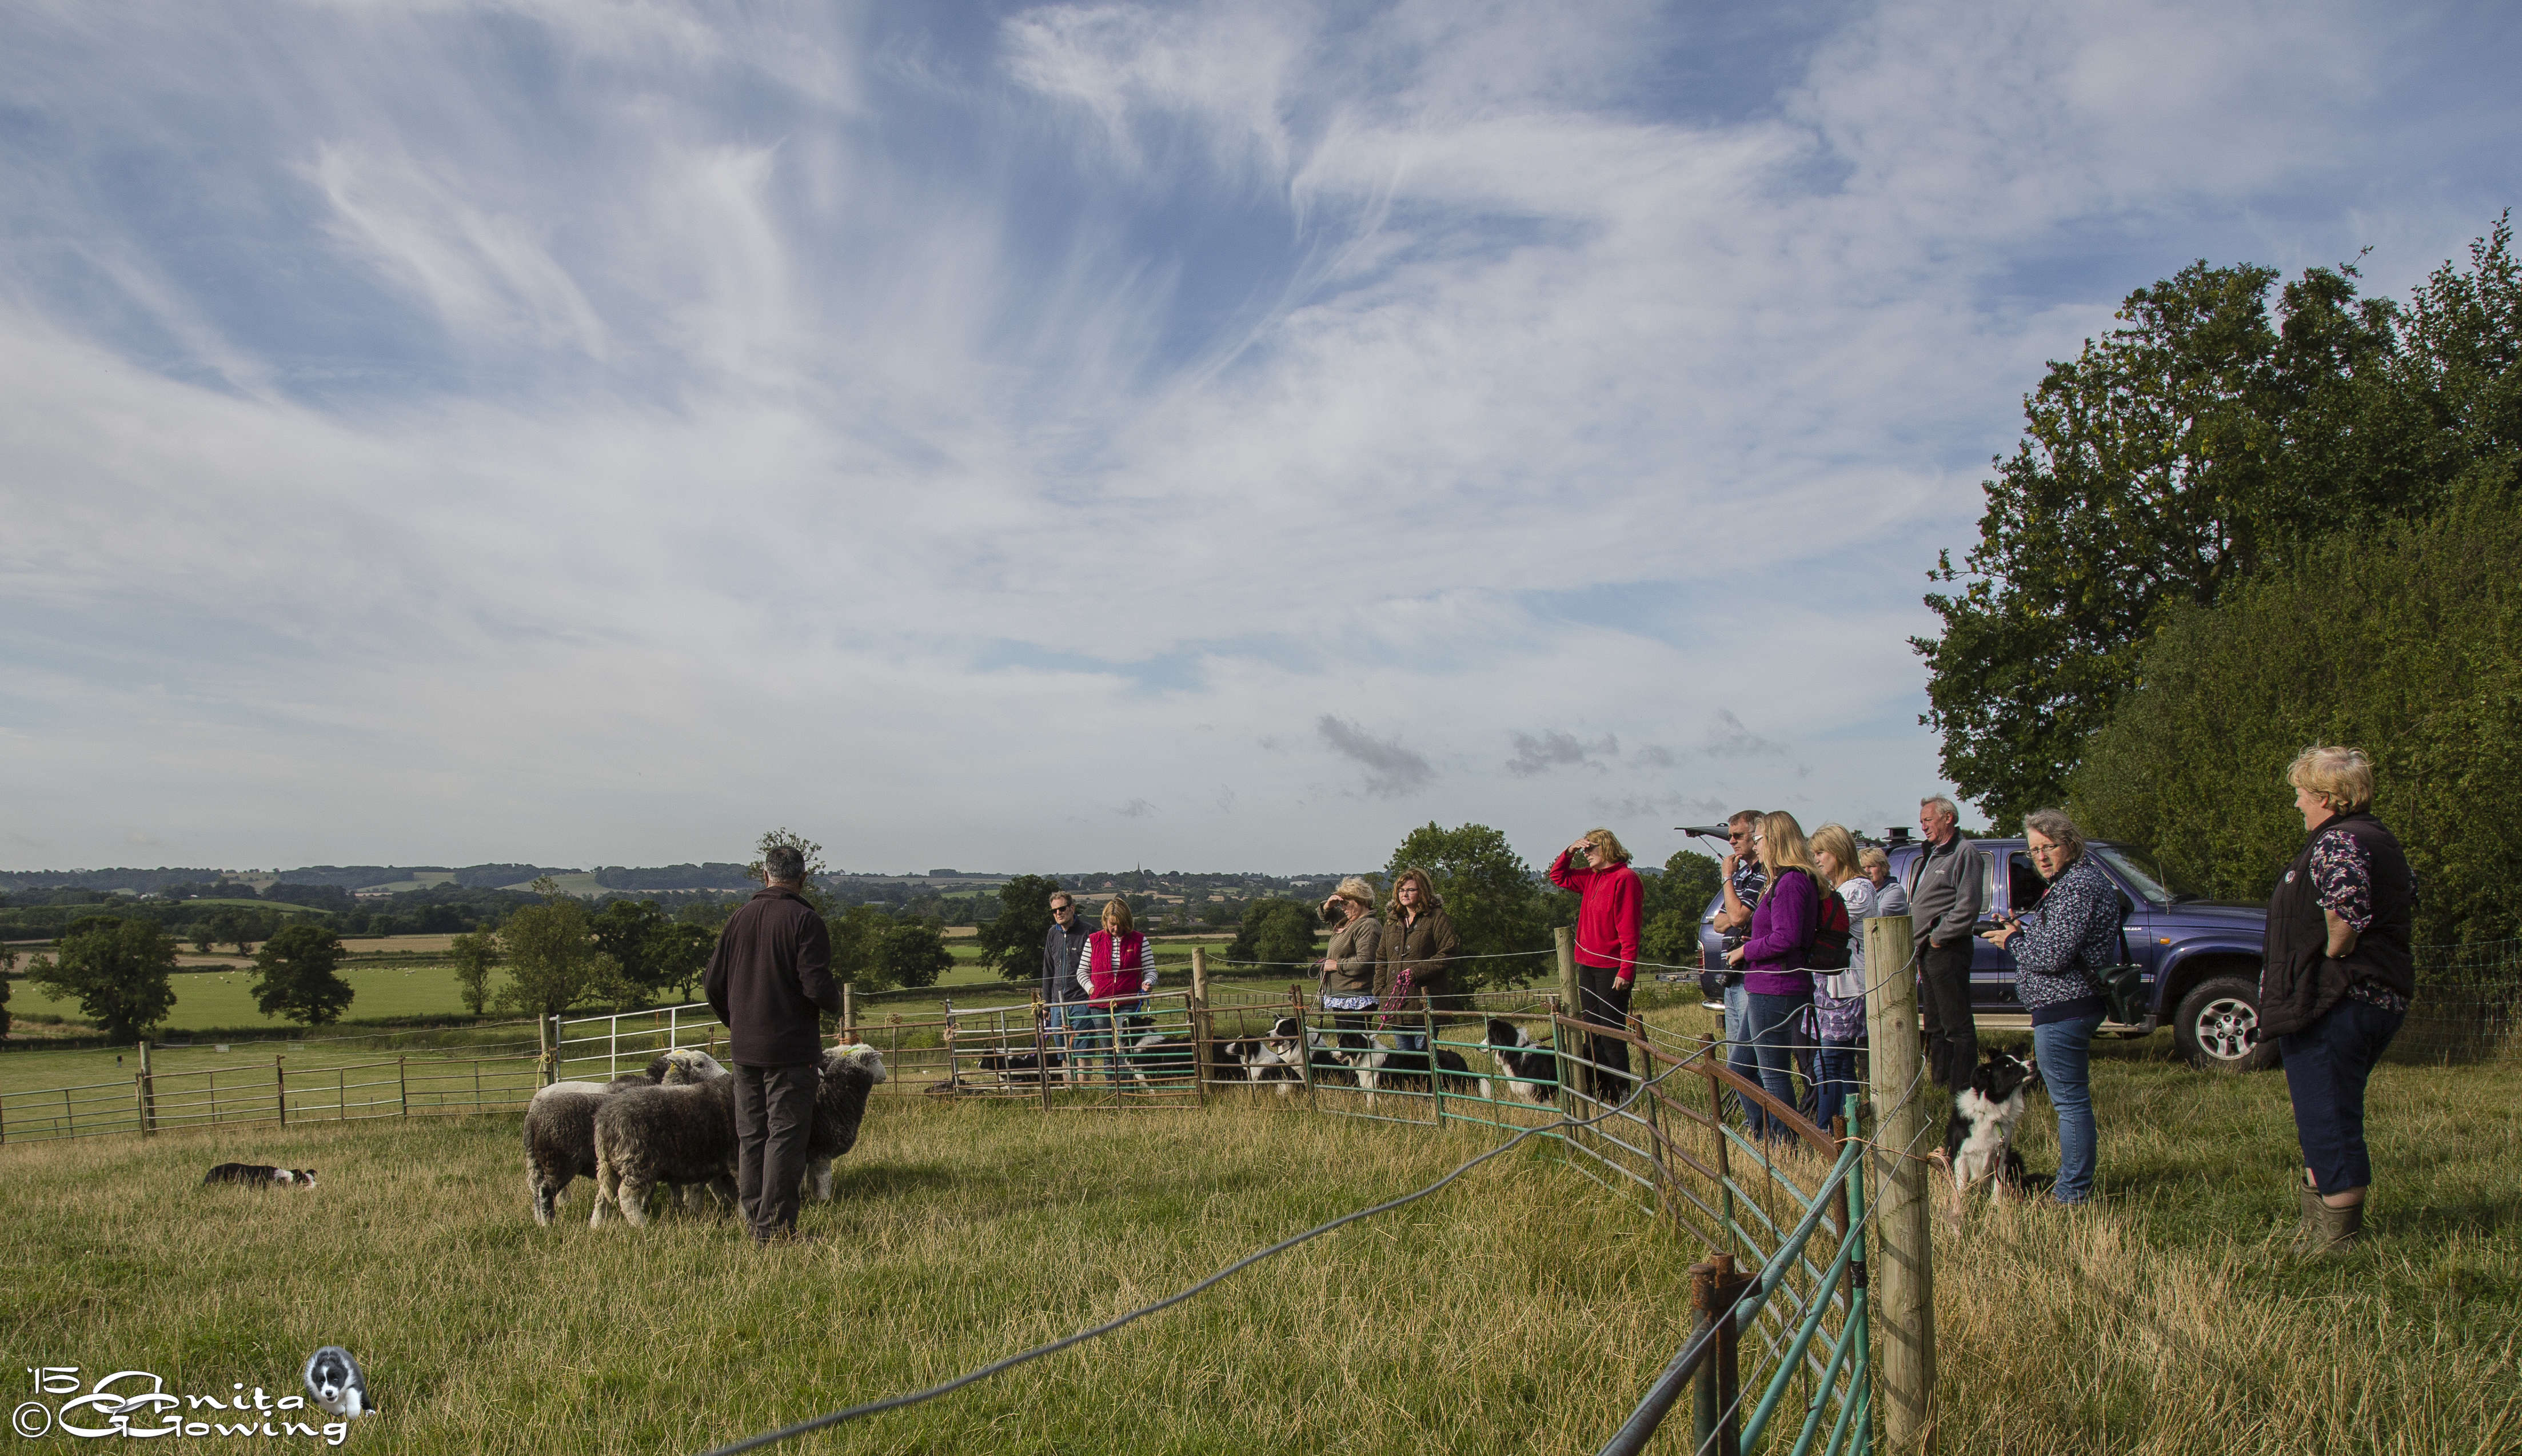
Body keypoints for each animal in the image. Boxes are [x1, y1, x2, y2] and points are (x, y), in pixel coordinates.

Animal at [1937, 1044, 2037, 1216]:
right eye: (2008, 1065)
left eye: (2020, 1058)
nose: (2034, 1063)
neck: (1989, 1113)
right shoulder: (1961, 1156)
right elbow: (1960, 1188)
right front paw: (1959, 1211)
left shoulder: (2002, 1155)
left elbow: (1998, 1186)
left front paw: (1996, 1208)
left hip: (2015, 1156)